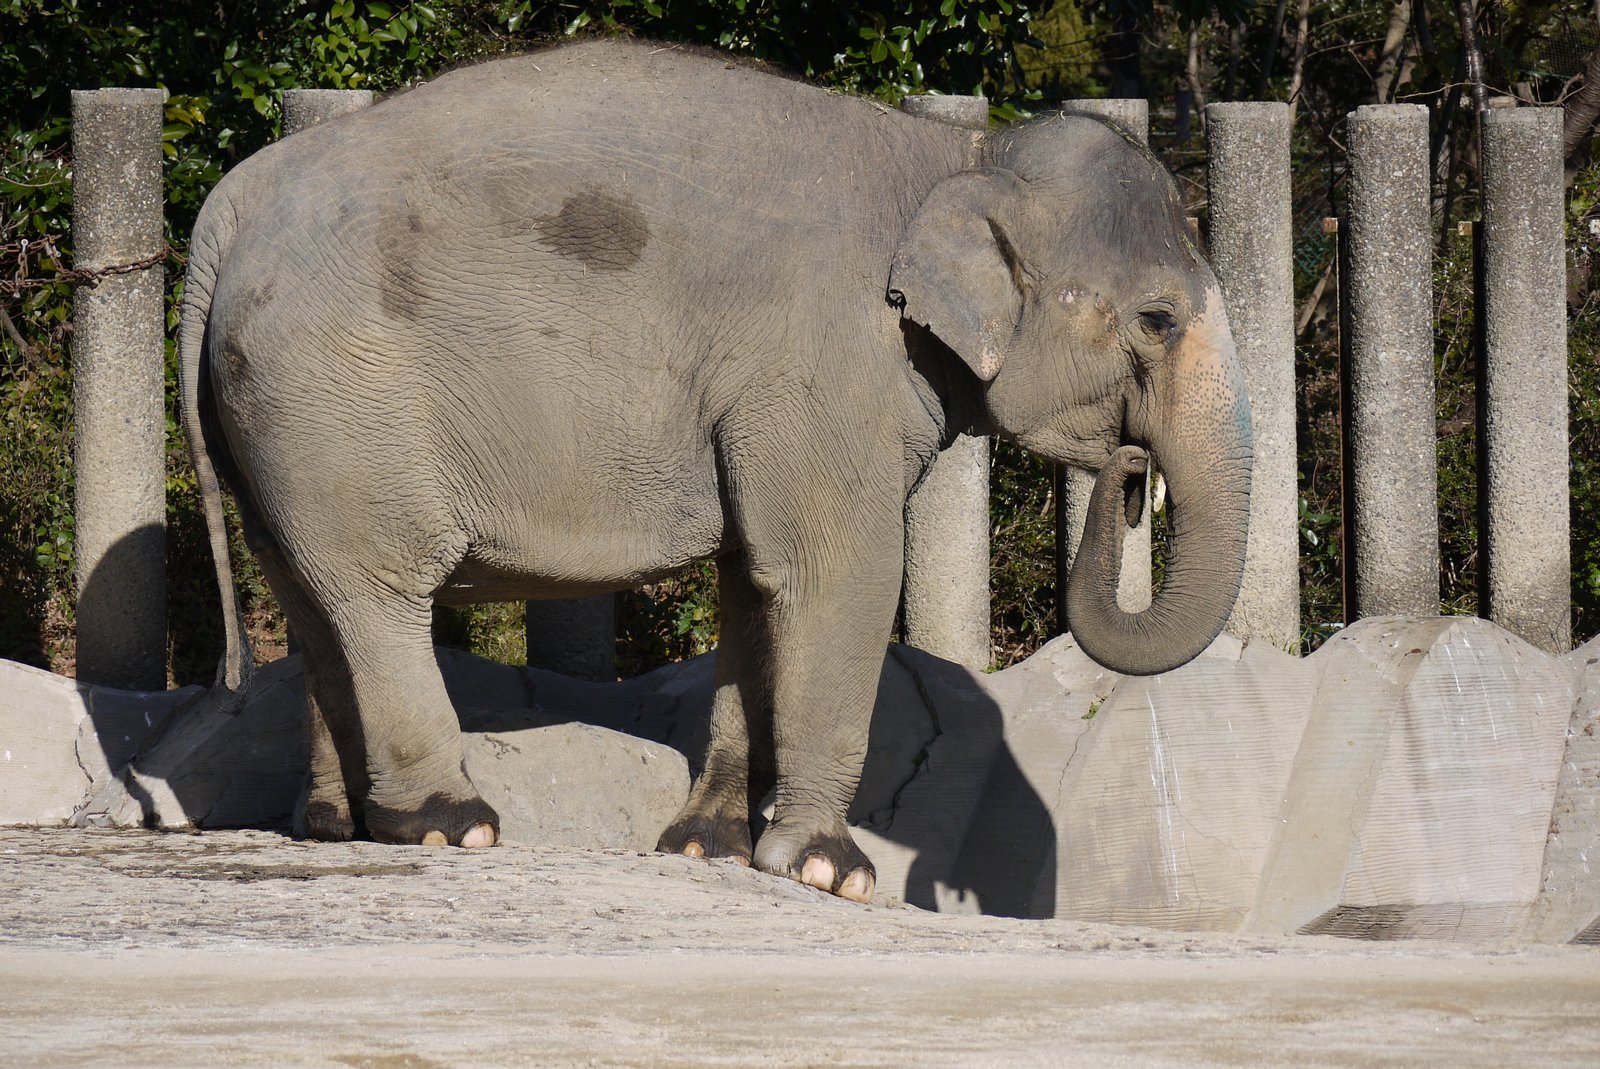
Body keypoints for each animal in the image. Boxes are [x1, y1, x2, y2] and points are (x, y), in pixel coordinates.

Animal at [175, 37, 1248, 902]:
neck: (958, 160)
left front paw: (708, 848)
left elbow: (751, 583)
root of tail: (227, 208)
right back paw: (447, 823)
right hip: (337, 396)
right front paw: (828, 871)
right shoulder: (828, 362)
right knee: (381, 588)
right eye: (1157, 319)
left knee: (308, 592)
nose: (1130, 467)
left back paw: (335, 825)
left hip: (272, 414)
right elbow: (838, 575)